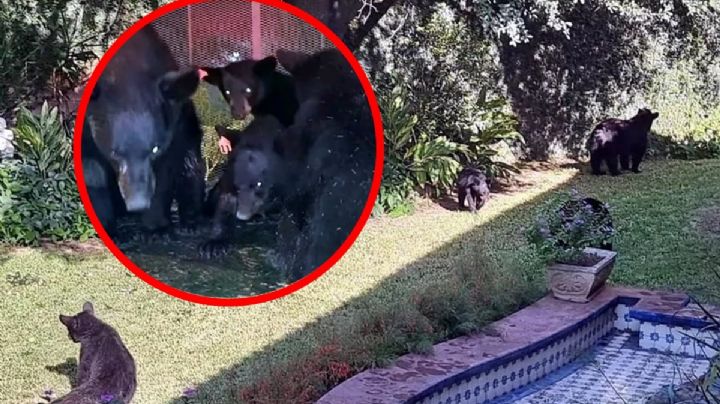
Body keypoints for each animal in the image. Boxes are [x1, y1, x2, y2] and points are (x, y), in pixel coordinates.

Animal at [82, 23, 206, 238]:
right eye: (115, 152)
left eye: (155, 149)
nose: (137, 204)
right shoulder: (88, 133)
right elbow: (92, 174)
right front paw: (107, 226)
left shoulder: (173, 127)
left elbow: (165, 175)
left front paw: (156, 228)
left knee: (191, 166)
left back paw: (191, 221)